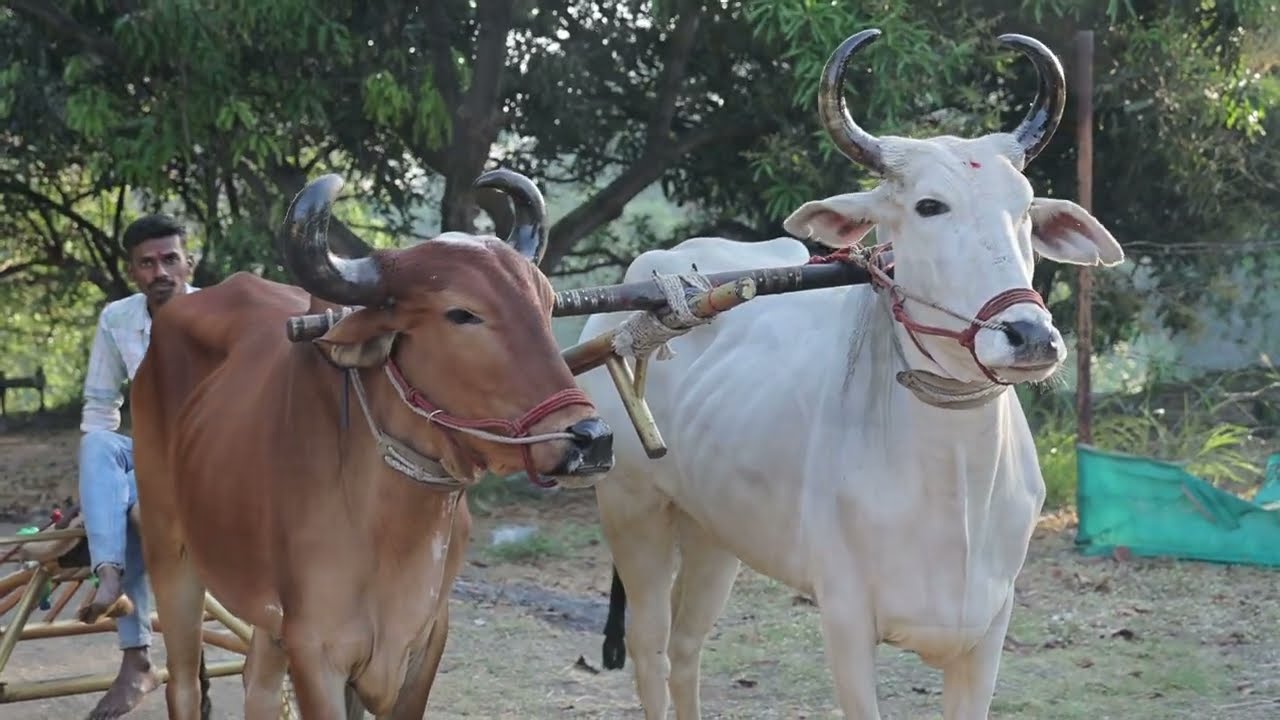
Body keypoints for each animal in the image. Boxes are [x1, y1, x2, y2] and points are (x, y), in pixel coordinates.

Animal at [130, 168, 615, 720]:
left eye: (547, 305)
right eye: (462, 314)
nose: (591, 439)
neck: (392, 523)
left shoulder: (424, 641)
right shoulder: (316, 649)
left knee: (259, 685)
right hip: (169, 550)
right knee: (184, 684)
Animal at [576, 29, 1125, 720]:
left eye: (1024, 208)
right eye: (928, 206)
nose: (1030, 336)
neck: (954, 481)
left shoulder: (987, 631)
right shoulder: (845, 620)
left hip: (713, 533)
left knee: (686, 648)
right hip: (632, 509)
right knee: (649, 649)